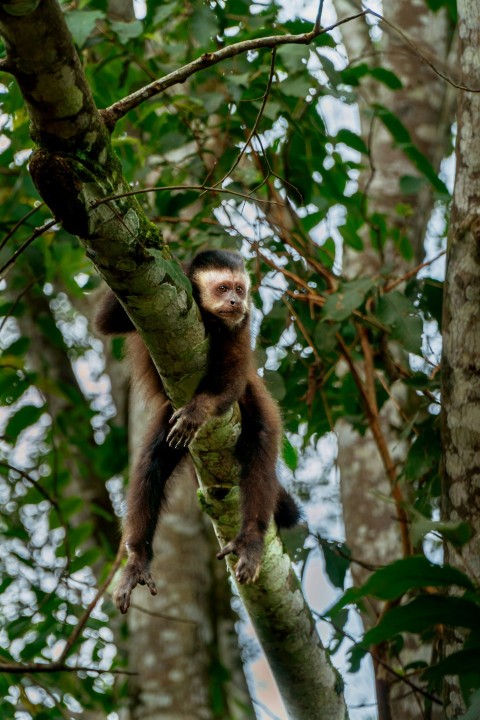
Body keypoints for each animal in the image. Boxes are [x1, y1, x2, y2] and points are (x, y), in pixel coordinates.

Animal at [95, 249, 300, 612]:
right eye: (223, 288)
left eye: (240, 290)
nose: (235, 301)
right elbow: (105, 321)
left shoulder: (242, 324)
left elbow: (230, 380)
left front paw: (199, 409)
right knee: (152, 462)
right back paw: (138, 558)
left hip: (256, 403)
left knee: (260, 446)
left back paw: (250, 539)